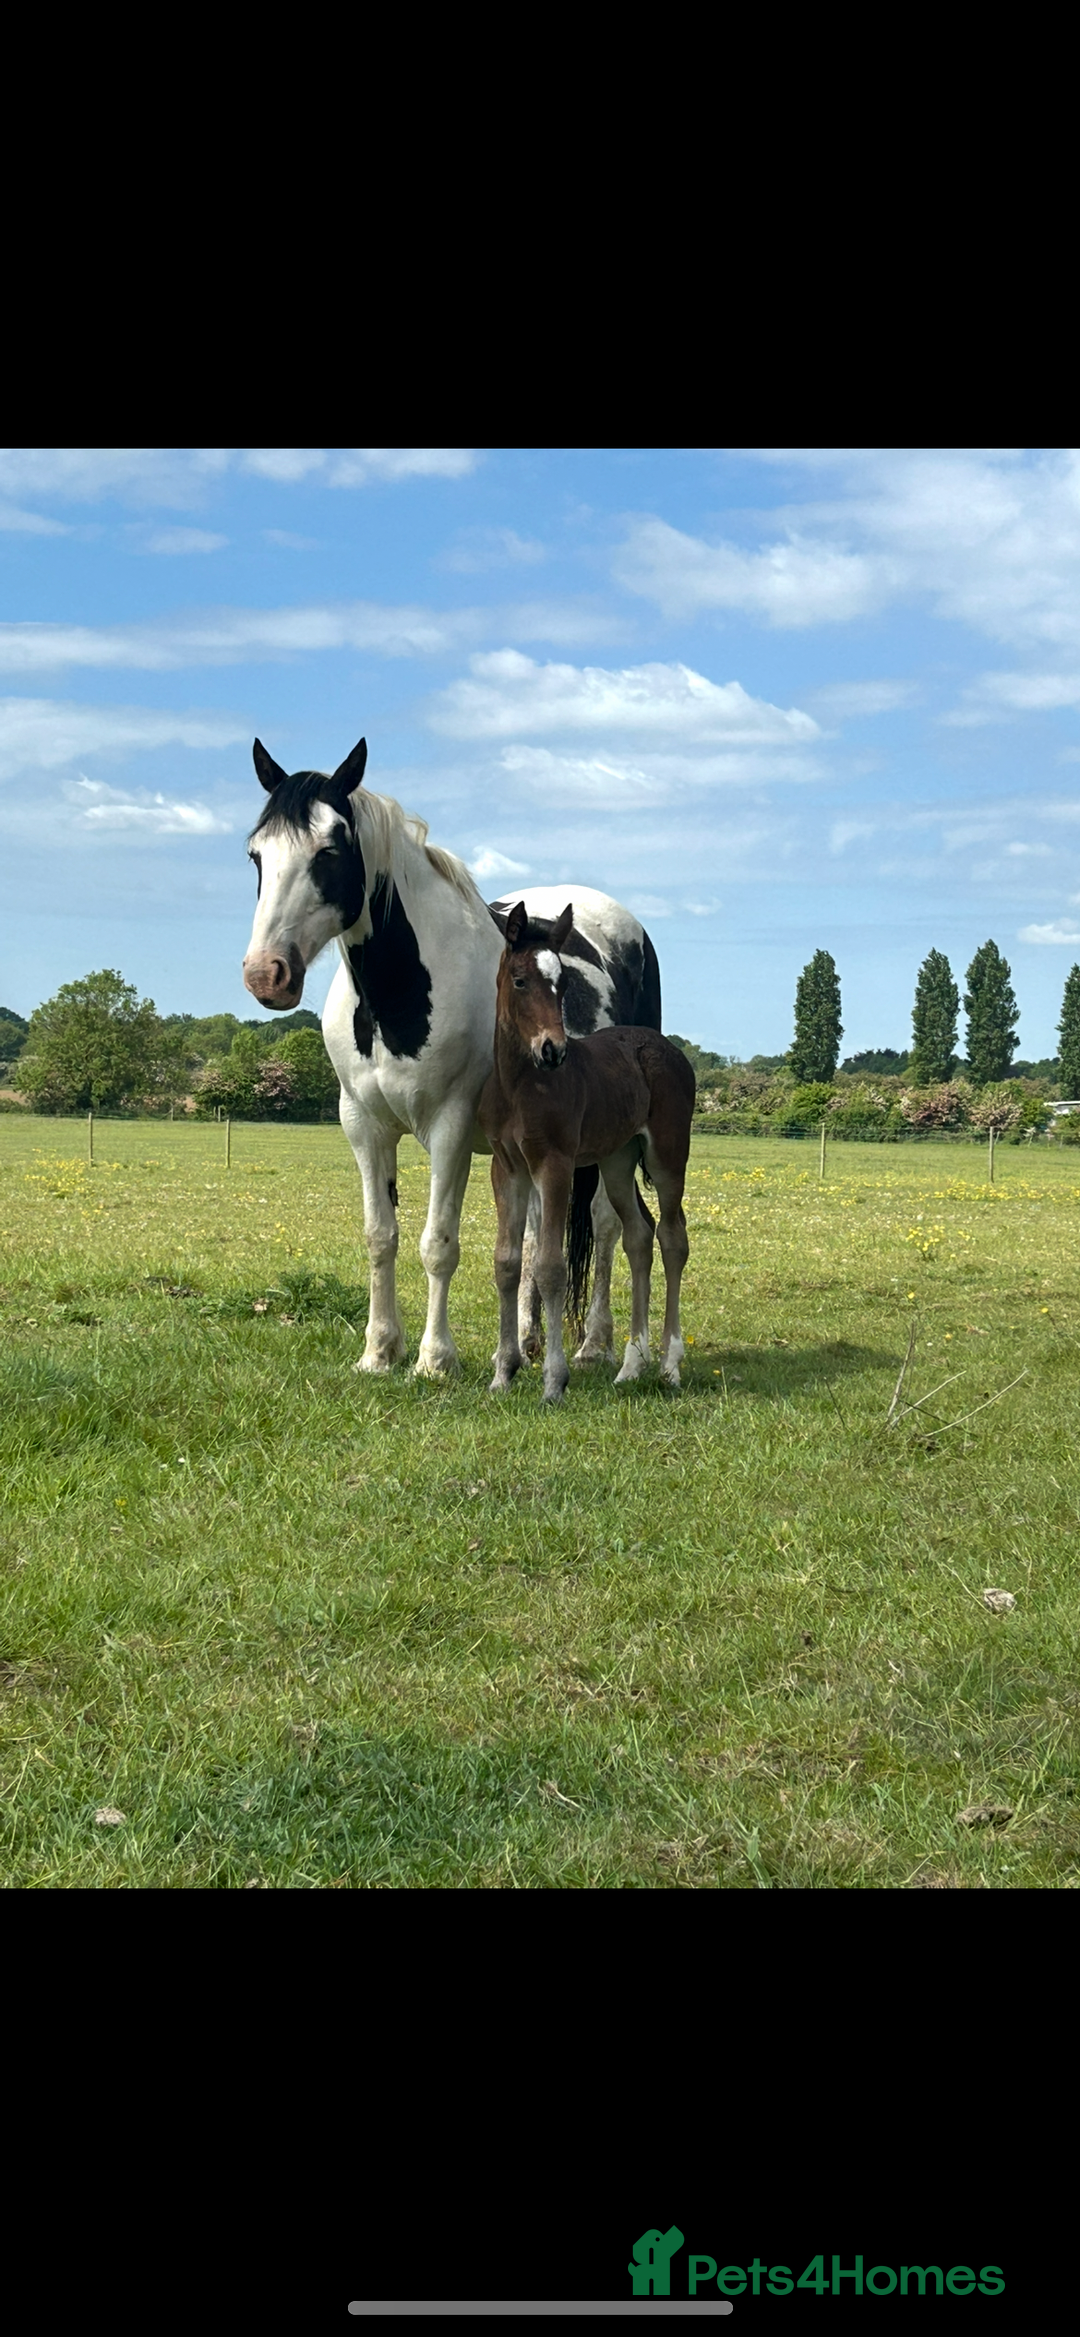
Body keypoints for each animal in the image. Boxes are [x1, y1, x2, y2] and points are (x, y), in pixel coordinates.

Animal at [241, 736, 663, 1377]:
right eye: (256, 855)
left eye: (329, 850)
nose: (267, 974)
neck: (402, 993)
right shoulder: (362, 1126)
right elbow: (381, 1236)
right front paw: (379, 1351)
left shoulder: (451, 1129)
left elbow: (438, 1243)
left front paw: (434, 1359)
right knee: (537, 1232)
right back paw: (527, 1340)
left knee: (608, 1224)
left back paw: (595, 1343)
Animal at [479, 900, 696, 1404]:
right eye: (520, 979)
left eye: (562, 983)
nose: (553, 1049)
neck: (521, 1085)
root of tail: (668, 1048)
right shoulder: (507, 1168)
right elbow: (507, 1262)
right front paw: (503, 1373)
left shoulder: (555, 1164)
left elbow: (550, 1267)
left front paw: (554, 1382)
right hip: (617, 1161)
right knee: (639, 1236)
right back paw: (632, 1366)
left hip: (667, 1156)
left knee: (672, 1237)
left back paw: (670, 1365)